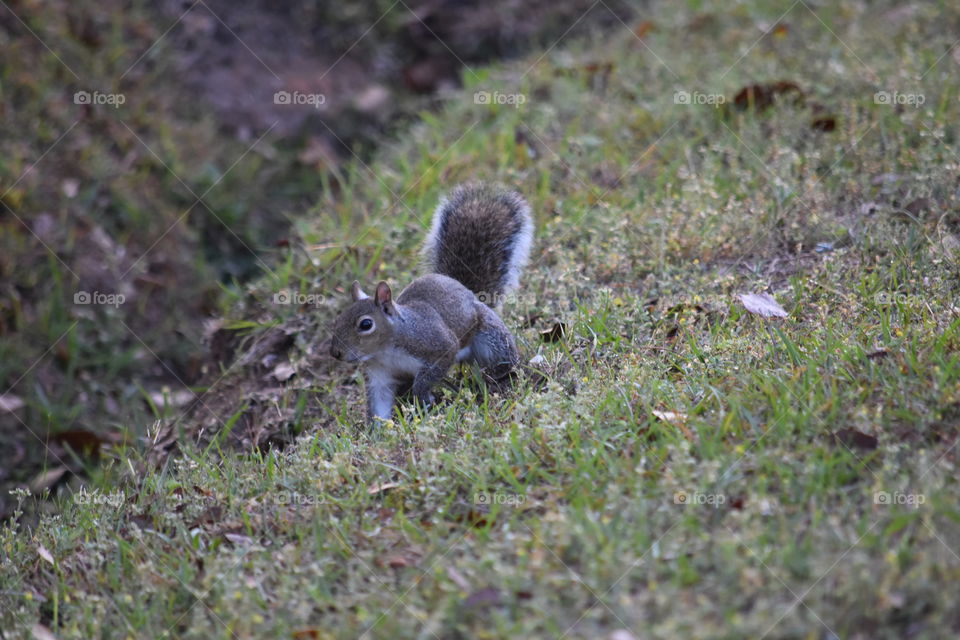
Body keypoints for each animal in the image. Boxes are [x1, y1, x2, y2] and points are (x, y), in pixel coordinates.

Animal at [329, 182, 533, 423]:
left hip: (491, 338)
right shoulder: (381, 375)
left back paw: (500, 375)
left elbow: (429, 374)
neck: (386, 350)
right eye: (337, 320)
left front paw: (424, 399)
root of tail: (463, 288)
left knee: (502, 357)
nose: (336, 353)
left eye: (366, 324)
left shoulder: (437, 346)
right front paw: (377, 430)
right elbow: (379, 404)